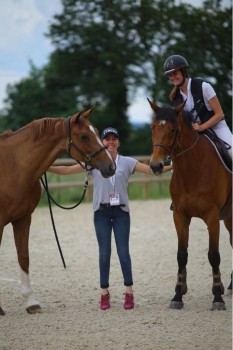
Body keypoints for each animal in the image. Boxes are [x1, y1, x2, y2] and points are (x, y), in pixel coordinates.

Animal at [0, 108, 116, 316]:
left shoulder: (23, 219)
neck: (13, 166)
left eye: (96, 131)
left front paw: (31, 302)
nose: (111, 166)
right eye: (85, 136)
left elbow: (23, 256)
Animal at [147, 100, 231, 310]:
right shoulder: (180, 215)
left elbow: (214, 255)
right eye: (153, 127)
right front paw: (178, 295)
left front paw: (217, 298)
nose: (155, 166)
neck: (192, 168)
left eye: (173, 130)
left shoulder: (212, 216)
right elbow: (181, 254)